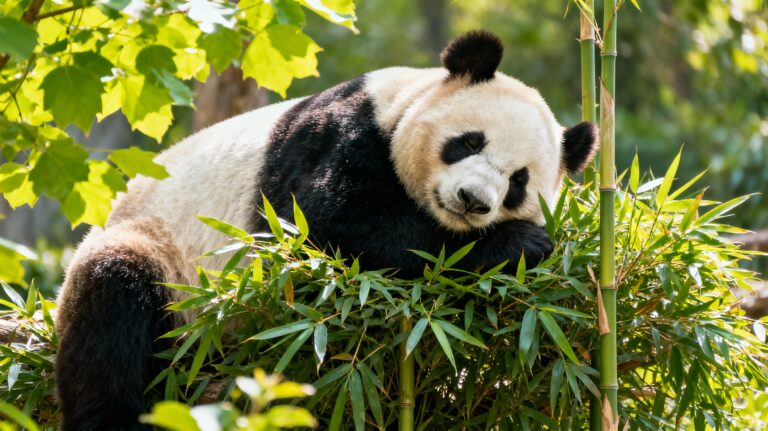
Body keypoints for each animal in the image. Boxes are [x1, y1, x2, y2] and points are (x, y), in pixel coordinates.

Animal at [54, 30, 597, 430]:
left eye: (518, 182)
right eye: (468, 142)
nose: (473, 201)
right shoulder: (339, 134)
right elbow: (335, 224)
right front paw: (517, 245)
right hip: (165, 260)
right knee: (113, 305)